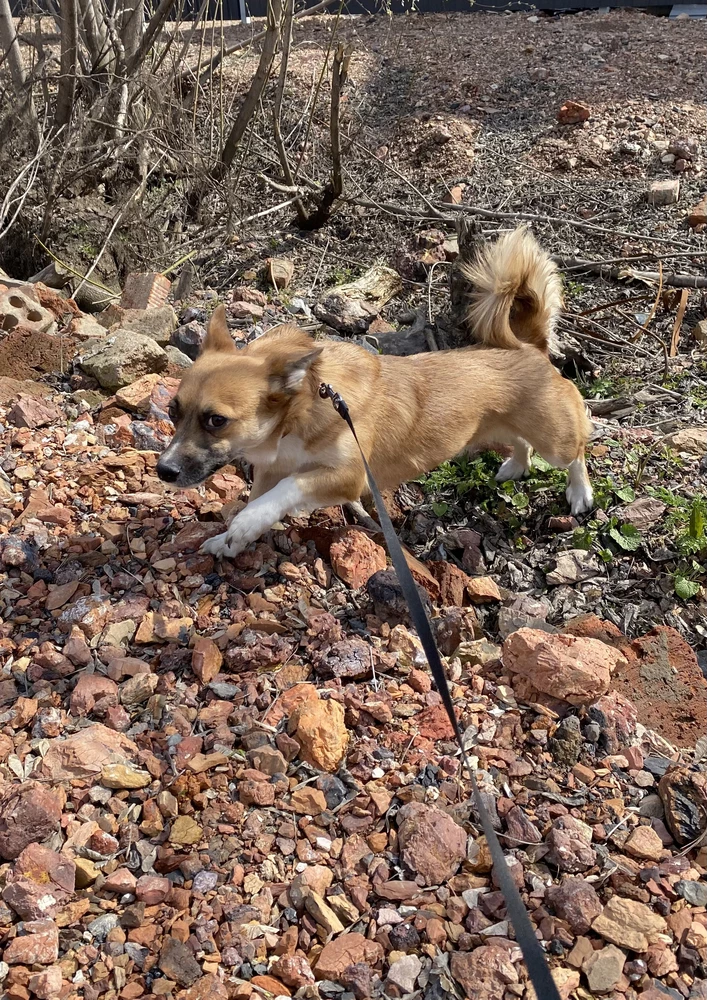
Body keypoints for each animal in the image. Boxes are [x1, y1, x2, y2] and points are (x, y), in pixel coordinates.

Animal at [158, 225, 596, 564]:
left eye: (216, 420)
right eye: (172, 411)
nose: (164, 471)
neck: (299, 414)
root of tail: (529, 346)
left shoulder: (345, 477)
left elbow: (283, 492)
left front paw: (243, 525)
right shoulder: (270, 470)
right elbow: (260, 500)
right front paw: (229, 539)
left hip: (555, 438)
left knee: (575, 452)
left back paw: (580, 493)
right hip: (493, 428)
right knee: (521, 442)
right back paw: (515, 467)